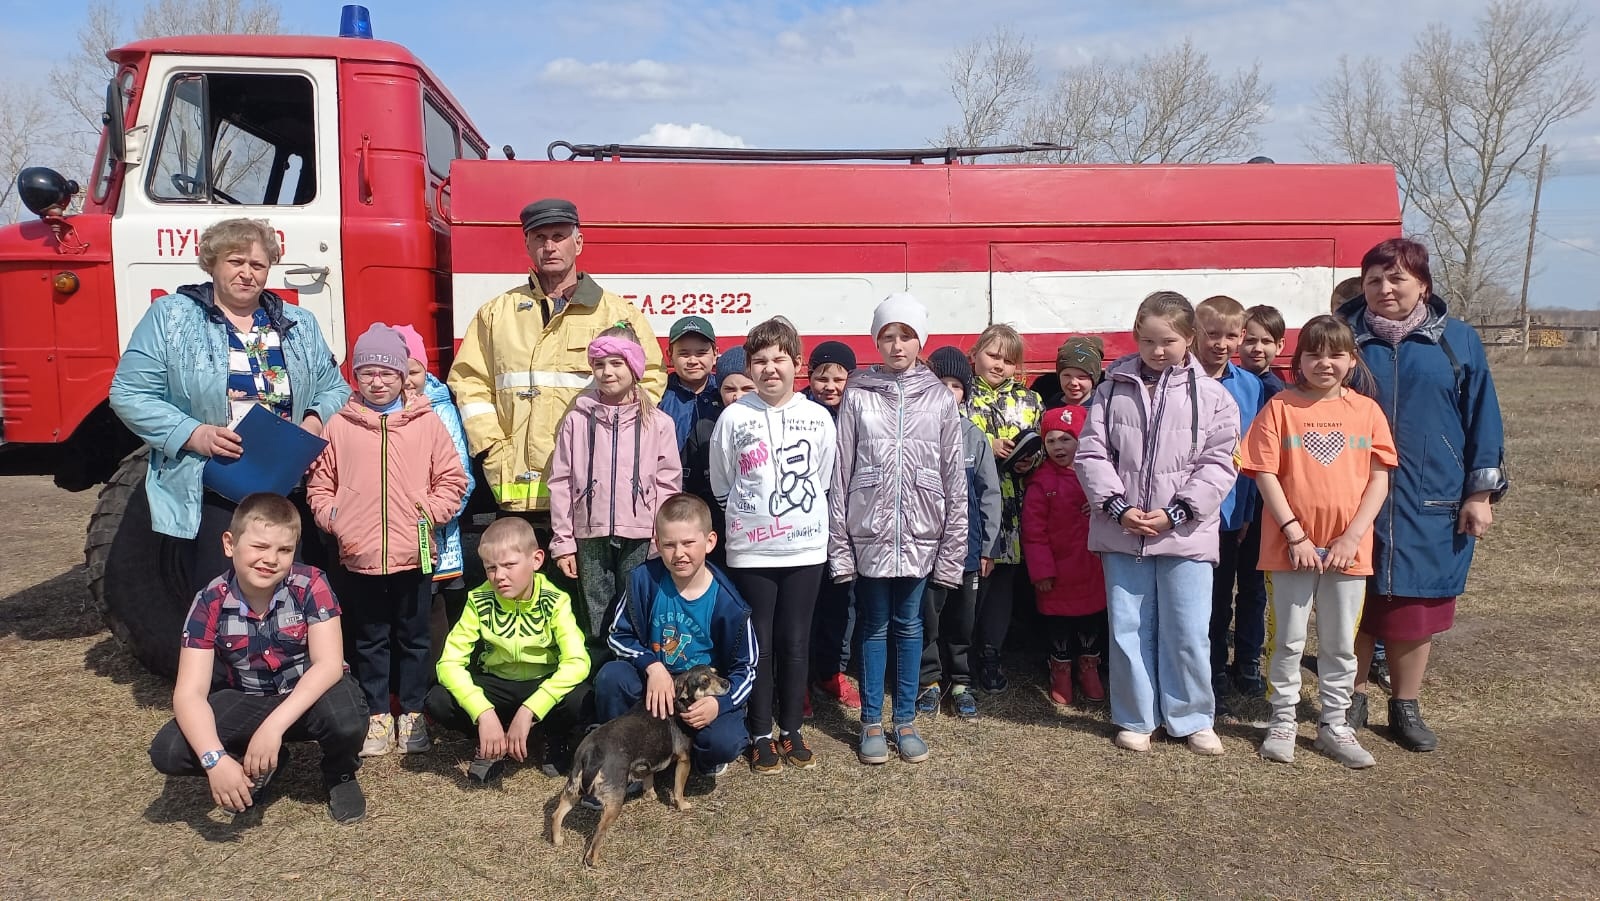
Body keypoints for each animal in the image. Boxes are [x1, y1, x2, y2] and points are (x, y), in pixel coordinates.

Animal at [547, 662, 729, 864]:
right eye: (704, 682)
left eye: (716, 673)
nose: (727, 683)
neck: (677, 699)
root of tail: (591, 754)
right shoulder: (684, 760)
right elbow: (678, 790)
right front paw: (682, 806)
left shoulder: (648, 759)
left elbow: (649, 778)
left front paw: (650, 795)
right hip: (613, 802)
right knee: (598, 834)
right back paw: (593, 861)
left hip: (572, 789)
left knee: (556, 814)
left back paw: (557, 839)